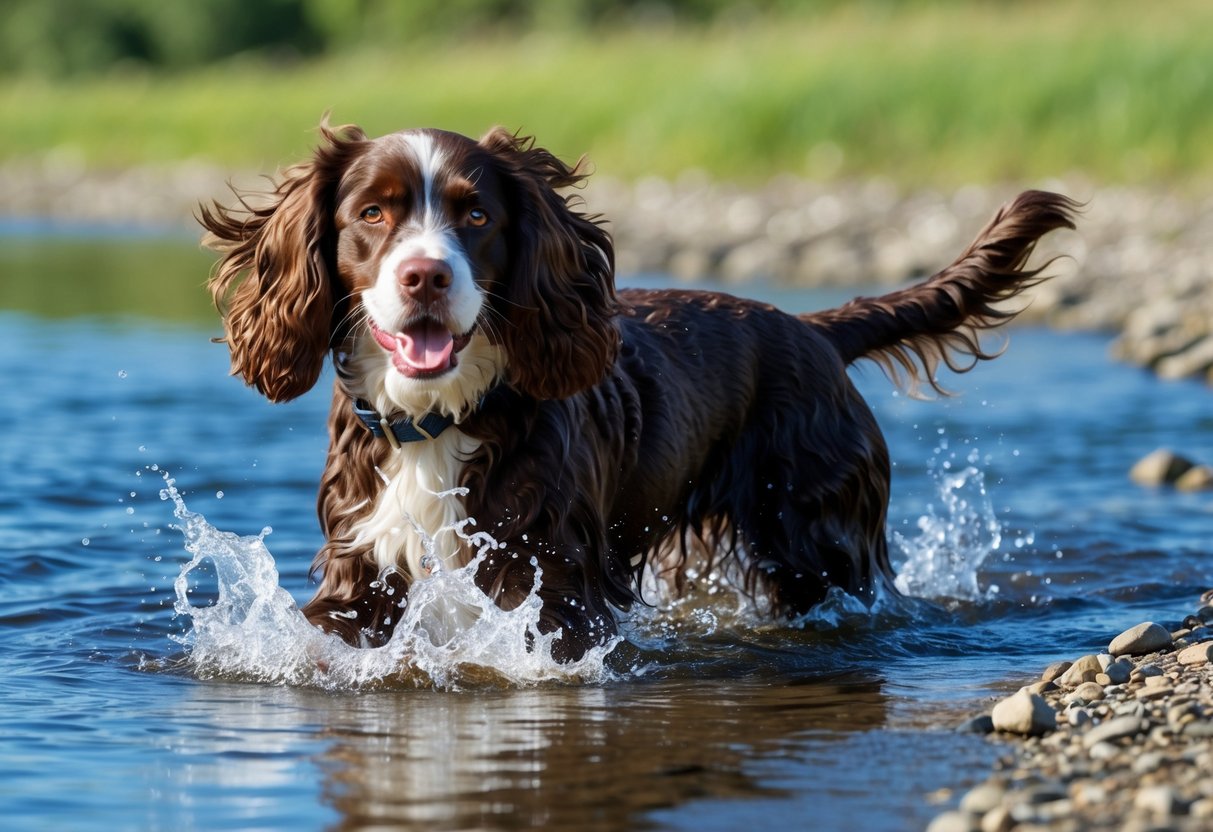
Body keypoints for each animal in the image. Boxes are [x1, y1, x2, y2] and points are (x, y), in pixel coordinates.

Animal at [201, 120, 1081, 659]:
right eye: (372, 213)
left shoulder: (555, 577)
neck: (443, 419)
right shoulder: (362, 569)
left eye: (477, 216)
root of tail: (813, 329)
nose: (425, 276)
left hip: (815, 533)